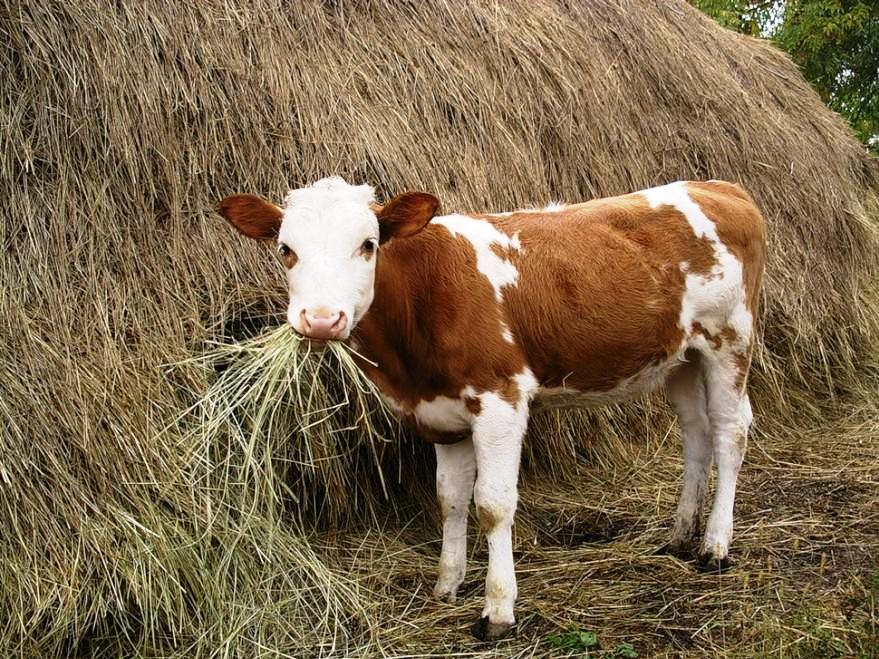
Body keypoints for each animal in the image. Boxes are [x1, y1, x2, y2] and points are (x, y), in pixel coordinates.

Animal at [222, 178, 768, 640]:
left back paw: (714, 546)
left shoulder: (501, 399)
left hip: (729, 339)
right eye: (286, 249)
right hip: (680, 357)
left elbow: (492, 503)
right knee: (695, 432)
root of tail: (721, 186)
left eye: (368, 244)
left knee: (730, 431)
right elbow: (450, 499)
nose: (320, 319)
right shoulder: (438, 414)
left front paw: (498, 609)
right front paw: (447, 584)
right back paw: (679, 535)